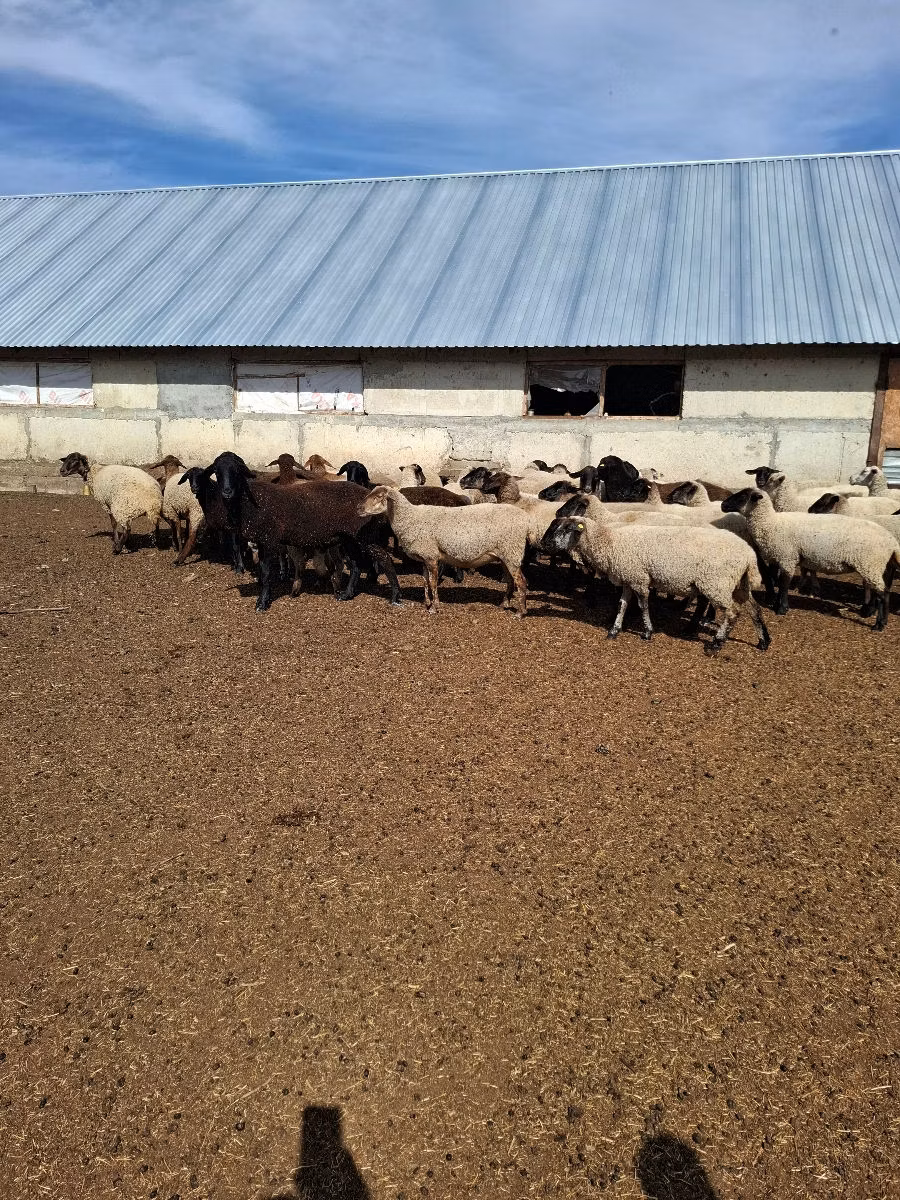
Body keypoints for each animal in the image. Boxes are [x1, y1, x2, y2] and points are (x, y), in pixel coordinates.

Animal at [358, 485, 531, 615]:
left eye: (379, 496)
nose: (359, 508)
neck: (410, 517)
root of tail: (526, 519)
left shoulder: (431, 556)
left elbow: (433, 582)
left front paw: (434, 608)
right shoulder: (424, 556)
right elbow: (425, 581)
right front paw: (426, 602)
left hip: (512, 551)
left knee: (521, 581)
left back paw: (520, 612)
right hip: (505, 555)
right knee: (510, 581)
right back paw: (505, 604)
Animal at [541, 515, 770, 654]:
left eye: (565, 528)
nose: (543, 544)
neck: (609, 541)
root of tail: (749, 554)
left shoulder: (639, 579)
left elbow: (643, 605)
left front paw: (647, 632)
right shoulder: (628, 577)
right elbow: (622, 605)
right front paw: (614, 630)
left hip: (716, 583)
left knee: (732, 613)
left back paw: (716, 643)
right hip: (737, 584)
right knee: (754, 609)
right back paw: (763, 641)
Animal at [722, 488, 899, 629]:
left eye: (742, 497)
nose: (723, 505)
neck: (771, 523)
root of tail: (892, 543)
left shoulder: (787, 557)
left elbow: (784, 584)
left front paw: (782, 608)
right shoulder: (779, 557)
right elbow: (778, 581)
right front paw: (777, 603)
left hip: (870, 564)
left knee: (883, 594)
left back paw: (879, 624)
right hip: (876, 566)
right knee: (882, 591)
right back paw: (875, 616)